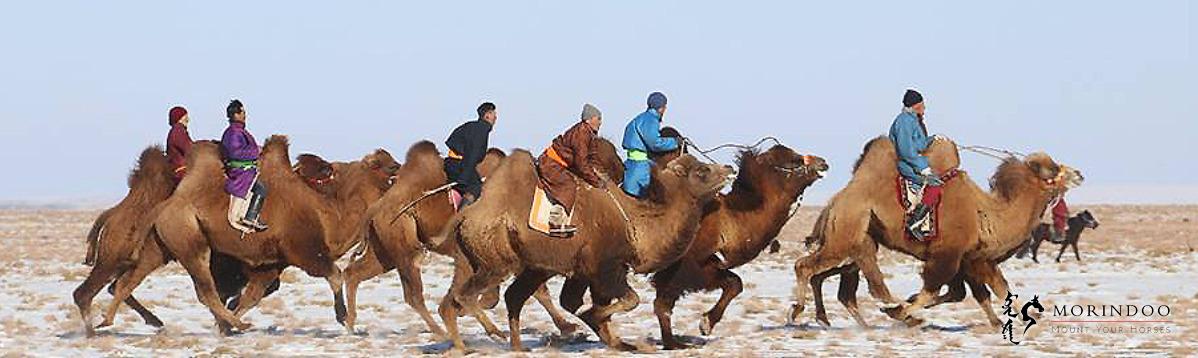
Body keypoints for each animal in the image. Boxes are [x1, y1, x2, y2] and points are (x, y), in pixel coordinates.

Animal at [97, 135, 397, 335]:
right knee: (204, 290)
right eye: (381, 165)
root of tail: (166, 205)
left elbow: (252, 296)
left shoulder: (270, 264)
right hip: (190, 241)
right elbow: (334, 274)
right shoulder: (304, 251)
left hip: (160, 244)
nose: (398, 167)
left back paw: (107, 321)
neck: (328, 213)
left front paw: (226, 324)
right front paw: (344, 318)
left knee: (128, 281)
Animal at [436, 150, 733, 352]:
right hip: (496, 261)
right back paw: (488, 337)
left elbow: (576, 302)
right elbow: (628, 300)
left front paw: (619, 341)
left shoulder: (582, 273)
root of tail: (465, 216)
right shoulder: (606, 268)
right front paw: (597, 323)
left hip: (507, 264)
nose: (728, 167)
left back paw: (503, 346)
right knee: (465, 296)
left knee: (491, 298)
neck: (635, 224)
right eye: (703, 170)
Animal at [651, 144, 829, 349]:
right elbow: (662, 305)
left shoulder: (710, 263)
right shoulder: (683, 266)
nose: (823, 162)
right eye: (794, 160)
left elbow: (735, 284)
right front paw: (673, 343)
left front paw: (706, 323)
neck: (728, 219)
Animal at [790, 137, 1082, 328]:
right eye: (1054, 170)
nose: (1079, 173)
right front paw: (902, 312)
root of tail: (836, 200)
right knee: (806, 266)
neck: (985, 214)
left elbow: (991, 289)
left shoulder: (973, 258)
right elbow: (935, 290)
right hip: (846, 233)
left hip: (862, 239)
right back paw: (798, 312)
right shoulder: (948, 254)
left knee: (849, 280)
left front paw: (1013, 318)